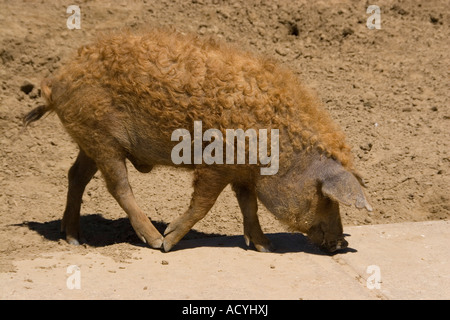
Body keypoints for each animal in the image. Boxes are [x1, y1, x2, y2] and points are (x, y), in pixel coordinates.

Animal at [22, 28, 370, 252]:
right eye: (325, 198)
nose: (341, 244)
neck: (279, 146)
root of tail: (55, 81)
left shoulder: (243, 172)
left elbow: (249, 206)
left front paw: (264, 247)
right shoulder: (215, 164)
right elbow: (204, 203)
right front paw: (169, 242)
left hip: (89, 140)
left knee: (76, 176)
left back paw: (73, 239)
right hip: (102, 137)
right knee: (118, 185)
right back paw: (152, 239)